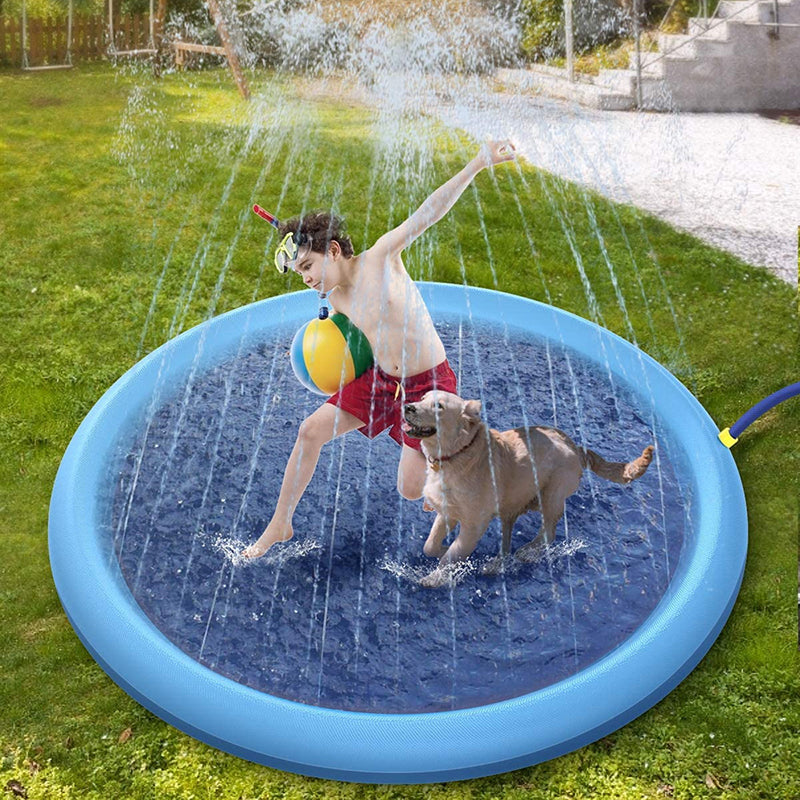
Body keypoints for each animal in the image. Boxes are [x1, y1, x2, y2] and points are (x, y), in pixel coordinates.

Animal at [404, 390, 652, 588]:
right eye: (422, 398)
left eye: (439, 406)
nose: (408, 406)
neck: (457, 454)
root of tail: (576, 447)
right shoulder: (448, 511)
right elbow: (429, 545)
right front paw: (442, 549)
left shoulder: (474, 524)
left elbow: (453, 555)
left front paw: (436, 578)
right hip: (512, 506)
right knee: (509, 542)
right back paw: (496, 564)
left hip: (551, 495)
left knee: (549, 533)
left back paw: (528, 552)